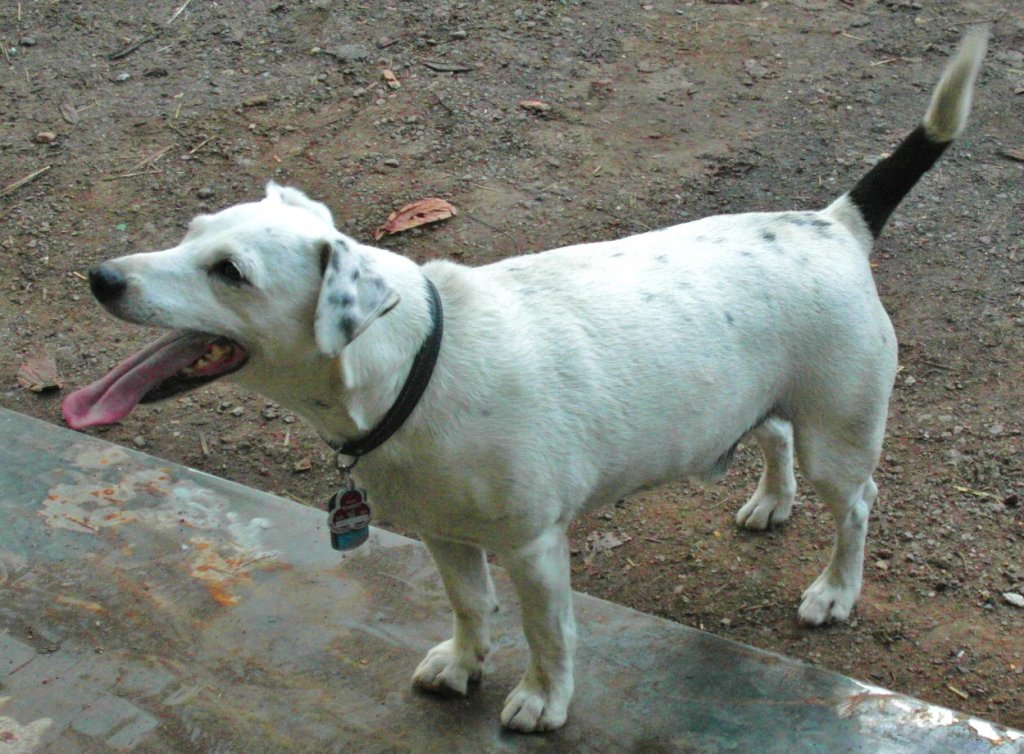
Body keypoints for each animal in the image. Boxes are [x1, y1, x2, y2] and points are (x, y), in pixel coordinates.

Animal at [61, 32, 983, 733]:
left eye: (230, 272)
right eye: (192, 231)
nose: (101, 278)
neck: (421, 363)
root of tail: (835, 224)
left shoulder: (536, 546)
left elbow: (548, 632)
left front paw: (543, 700)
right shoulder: (445, 535)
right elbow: (471, 606)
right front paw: (465, 662)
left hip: (842, 431)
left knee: (854, 507)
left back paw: (834, 590)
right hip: (764, 398)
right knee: (775, 433)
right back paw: (770, 500)